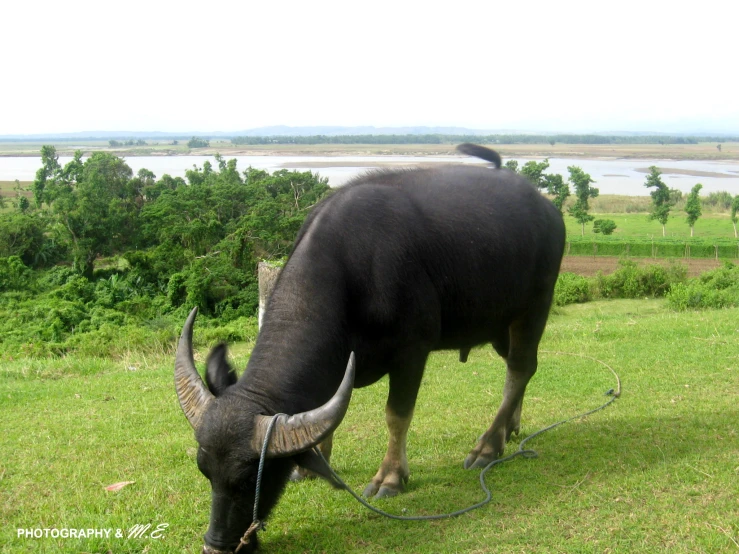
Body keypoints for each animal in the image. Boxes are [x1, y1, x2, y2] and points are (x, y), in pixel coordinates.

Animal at [175, 144, 568, 548]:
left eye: (251, 476)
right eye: (205, 470)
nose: (217, 544)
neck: (352, 267)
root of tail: (548, 210)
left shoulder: (412, 352)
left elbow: (396, 415)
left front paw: (390, 477)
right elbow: (326, 414)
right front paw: (316, 464)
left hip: (534, 307)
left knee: (520, 369)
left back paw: (487, 446)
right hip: (500, 325)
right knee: (517, 371)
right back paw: (509, 429)